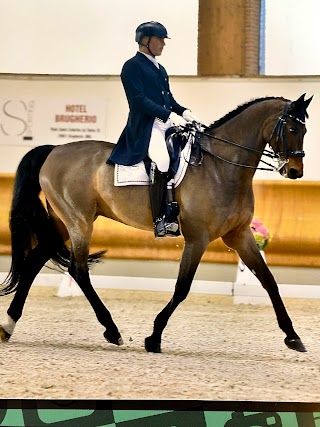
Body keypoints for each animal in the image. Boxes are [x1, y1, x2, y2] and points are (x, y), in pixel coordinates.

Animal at [0, 93, 312, 354]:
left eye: (305, 130)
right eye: (292, 129)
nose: (294, 171)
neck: (221, 168)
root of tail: (54, 150)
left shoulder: (239, 235)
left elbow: (269, 281)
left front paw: (293, 336)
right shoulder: (197, 238)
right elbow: (182, 288)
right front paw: (154, 337)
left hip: (64, 224)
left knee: (34, 261)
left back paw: (8, 325)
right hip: (79, 222)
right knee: (78, 270)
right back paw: (112, 330)